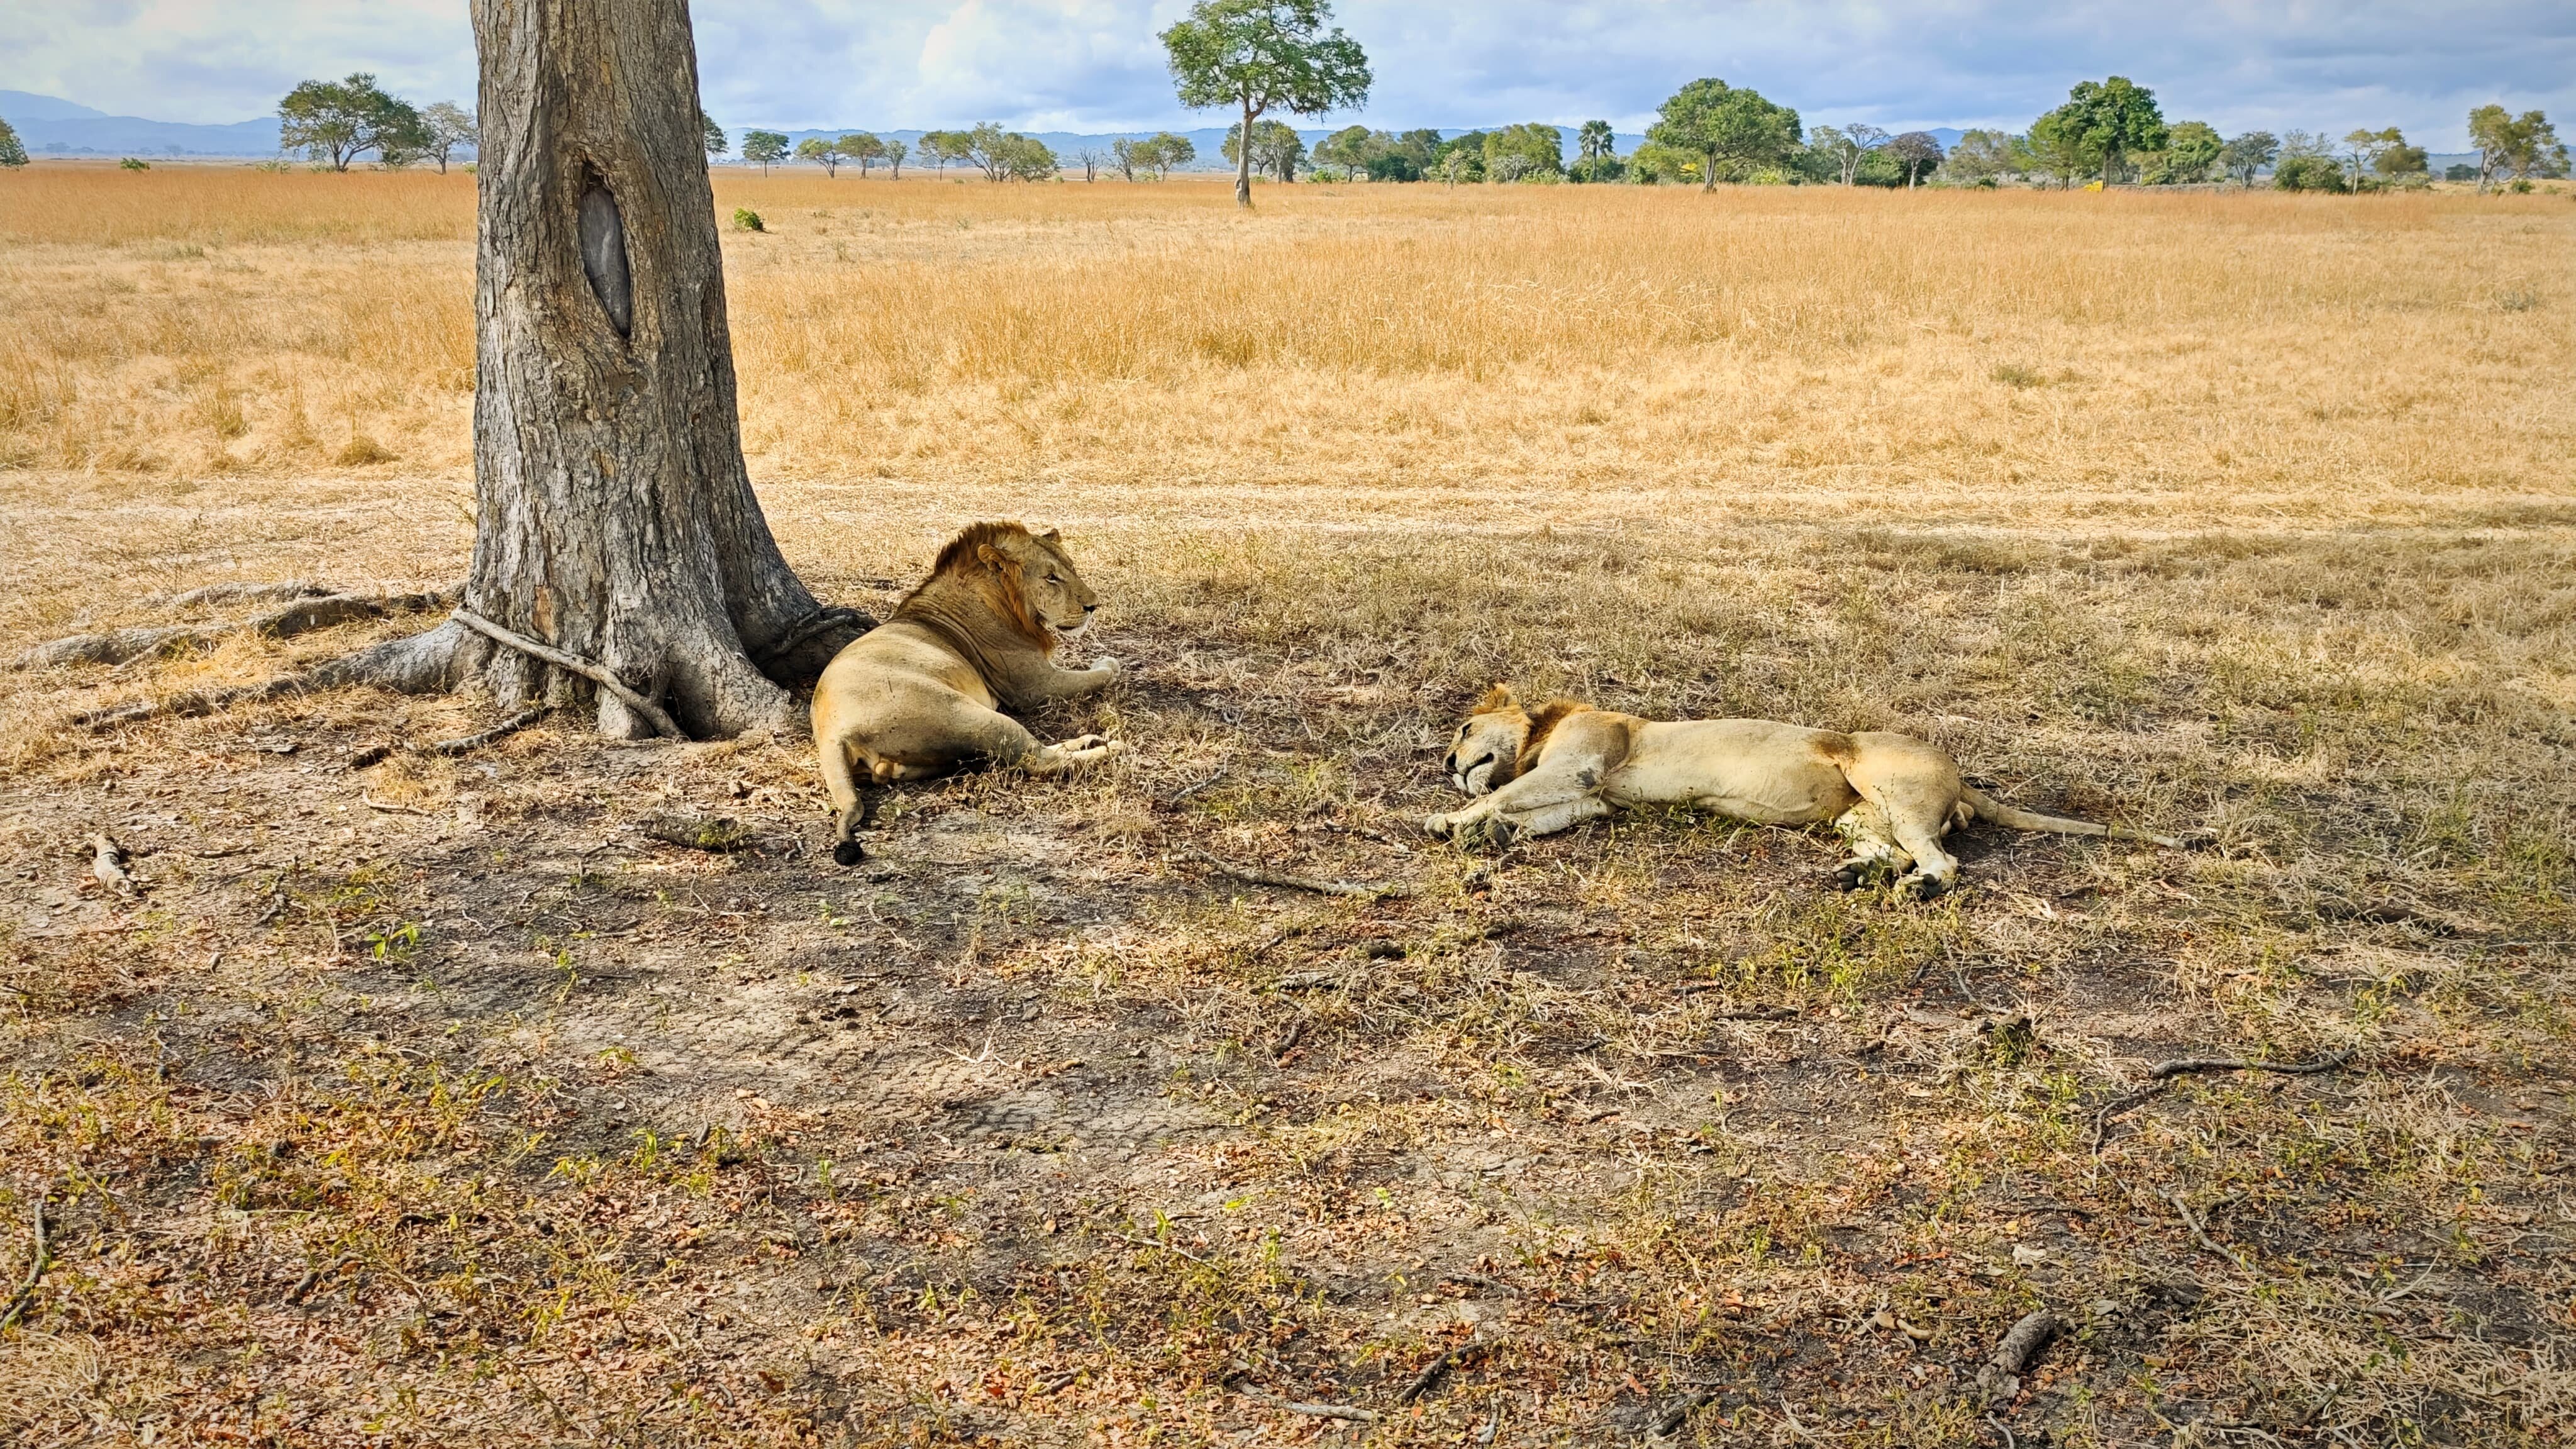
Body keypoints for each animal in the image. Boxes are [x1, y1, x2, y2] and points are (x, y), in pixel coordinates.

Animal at [813, 522, 1123, 866]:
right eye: (1051, 577)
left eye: (1071, 568)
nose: (1093, 606)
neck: (1003, 600)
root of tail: (832, 733)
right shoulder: (1035, 686)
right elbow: (1102, 675)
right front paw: (1107, 662)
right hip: (972, 715)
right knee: (1039, 760)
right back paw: (1108, 748)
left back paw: (1088, 740)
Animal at [1424, 686, 2181, 897]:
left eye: (1464, 727)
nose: (1447, 761)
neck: (1543, 729)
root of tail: (1961, 772)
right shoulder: (1591, 797)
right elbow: (1528, 812)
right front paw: (1490, 830)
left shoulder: (1582, 766)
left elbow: (1496, 794)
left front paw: (1448, 818)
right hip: (1860, 816)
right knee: (1896, 850)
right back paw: (1852, 877)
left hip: (1880, 777)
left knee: (1941, 861)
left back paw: (1919, 889)